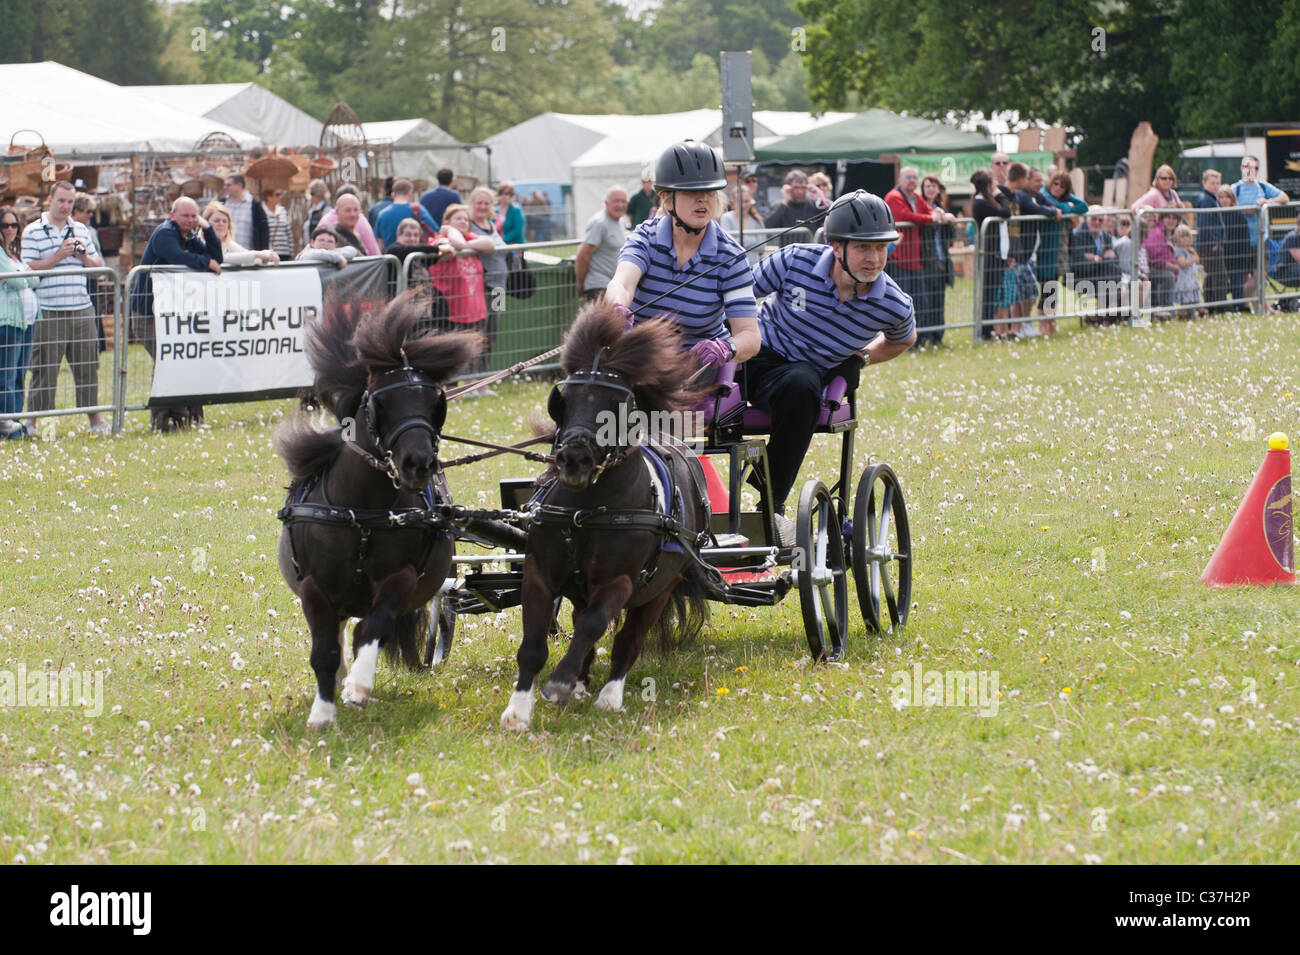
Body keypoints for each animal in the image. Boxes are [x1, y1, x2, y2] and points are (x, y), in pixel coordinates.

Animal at [276, 291, 480, 732]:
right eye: (380, 401)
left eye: (436, 402)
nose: (418, 464)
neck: (361, 514)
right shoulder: (314, 587)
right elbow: (324, 651)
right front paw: (322, 712)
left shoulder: (401, 580)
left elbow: (374, 628)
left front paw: (359, 686)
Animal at [499, 304, 722, 732]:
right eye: (564, 400)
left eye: (616, 405)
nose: (574, 458)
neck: (585, 510)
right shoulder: (539, 573)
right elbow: (534, 642)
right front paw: (519, 708)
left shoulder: (619, 580)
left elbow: (594, 625)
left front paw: (560, 683)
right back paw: (583, 681)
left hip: (660, 589)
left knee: (627, 639)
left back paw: (608, 694)